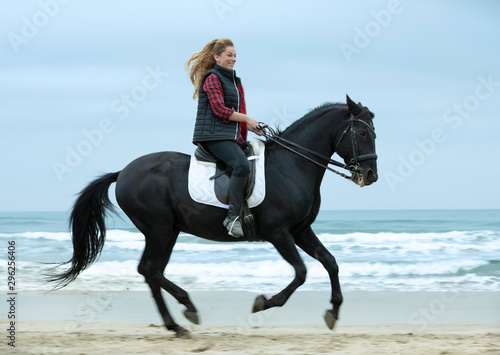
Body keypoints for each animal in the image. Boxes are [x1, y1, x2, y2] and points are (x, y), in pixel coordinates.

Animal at [51, 95, 378, 340]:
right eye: (362, 133)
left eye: (373, 133)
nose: (371, 175)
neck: (292, 165)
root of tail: (123, 173)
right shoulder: (279, 233)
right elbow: (301, 272)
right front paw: (264, 303)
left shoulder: (300, 230)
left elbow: (330, 262)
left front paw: (333, 312)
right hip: (159, 229)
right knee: (150, 269)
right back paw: (185, 313)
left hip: (168, 232)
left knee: (152, 271)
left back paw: (178, 321)